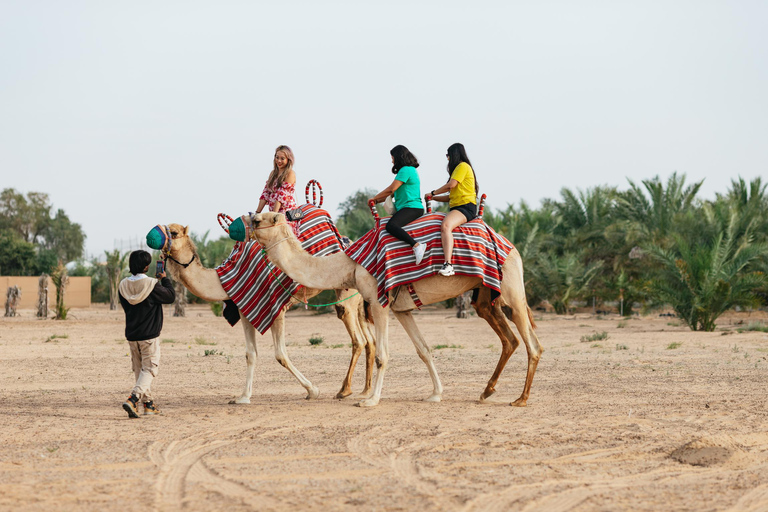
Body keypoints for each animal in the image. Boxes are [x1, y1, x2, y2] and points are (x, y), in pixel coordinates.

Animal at [161, 224, 376, 404]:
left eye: (174, 233)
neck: (225, 278)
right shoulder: (245, 310)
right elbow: (250, 354)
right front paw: (243, 397)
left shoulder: (276, 309)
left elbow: (280, 354)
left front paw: (312, 390)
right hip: (359, 298)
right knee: (370, 340)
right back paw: (365, 391)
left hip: (347, 296)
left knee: (358, 338)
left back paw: (344, 390)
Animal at [243, 212, 544, 408]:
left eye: (261, 219)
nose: (245, 224)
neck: (350, 265)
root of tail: (510, 245)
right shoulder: (402, 309)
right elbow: (424, 350)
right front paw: (436, 394)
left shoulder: (378, 302)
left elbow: (382, 355)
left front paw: (371, 400)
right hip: (485, 296)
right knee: (511, 339)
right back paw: (487, 391)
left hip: (511, 287)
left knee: (533, 343)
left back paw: (521, 399)